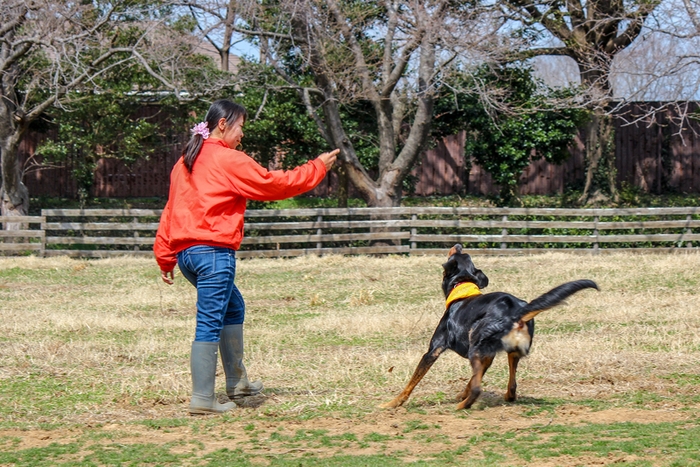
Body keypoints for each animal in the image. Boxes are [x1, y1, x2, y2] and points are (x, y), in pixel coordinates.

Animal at [380, 245, 600, 410]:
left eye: (456, 254)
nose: (458, 244)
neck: (462, 287)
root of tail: (517, 309)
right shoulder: (489, 355)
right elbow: (473, 379)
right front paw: (462, 393)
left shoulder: (433, 350)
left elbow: (411, 383)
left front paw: (393, 403)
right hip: (509, 351)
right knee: (512, 386)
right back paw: (501, 397)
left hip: (475, 344)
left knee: (479, 388)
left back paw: (462, 407)